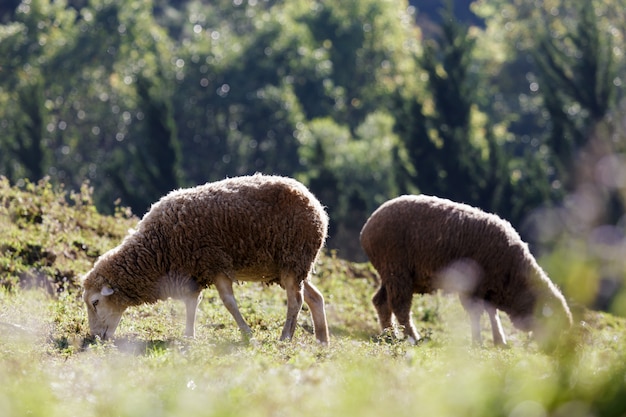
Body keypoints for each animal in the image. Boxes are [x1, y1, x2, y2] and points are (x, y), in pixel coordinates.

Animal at [81, 174, 332, 342]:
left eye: (95, 302)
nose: (95, 337)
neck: (157, 250)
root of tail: (316, 204)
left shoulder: (215, 263)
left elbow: (228, 303)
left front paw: (247, 334)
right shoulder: (192, 273)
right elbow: (191, 304)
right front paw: (189, 336)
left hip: (294, 259)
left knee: (296, 300)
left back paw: (286, 337)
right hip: (291, 266)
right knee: (315, 297)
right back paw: (322, 340)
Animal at [360, 195, 572, 348]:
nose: (554, 350)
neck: (514, 277)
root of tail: (366, 228)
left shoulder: (490, 288)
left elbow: (492, 312)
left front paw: (499, 341)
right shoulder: (475, 287)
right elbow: (477, 313)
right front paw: (478, 341)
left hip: (391, 274)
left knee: (381, 302)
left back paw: (389, 335)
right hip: (397, 270)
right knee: (400, 306)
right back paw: (412, 338)